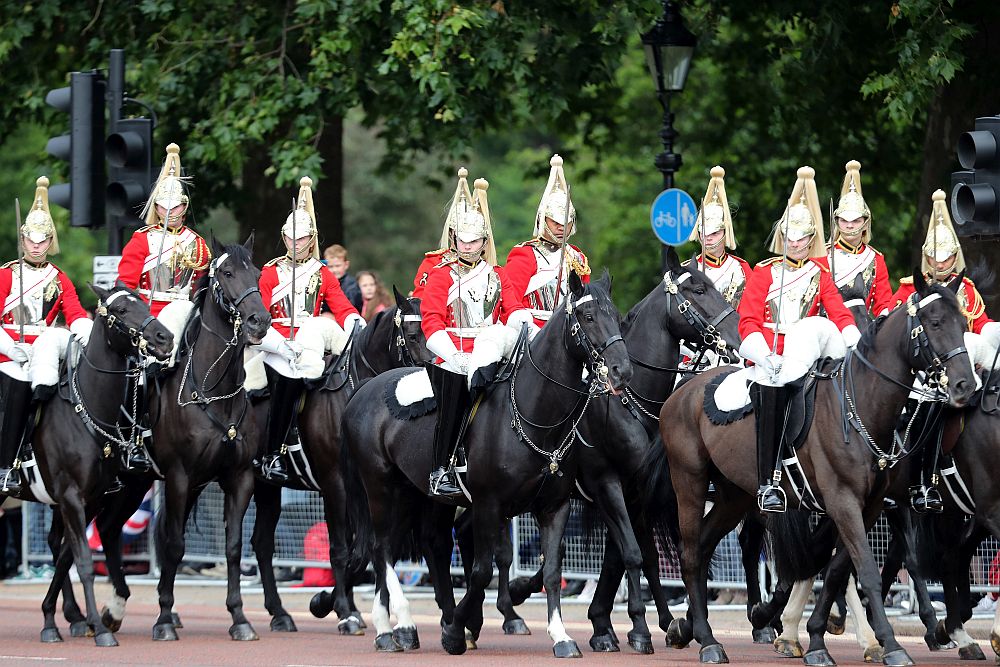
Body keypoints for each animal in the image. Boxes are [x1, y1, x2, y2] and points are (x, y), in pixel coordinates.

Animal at [9, 284, 173, 648]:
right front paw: (99, 627)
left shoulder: (92, 499)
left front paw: (53, 620)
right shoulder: (72, 497)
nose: (165, 337)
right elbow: (83, 561)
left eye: (144, 303)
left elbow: (67, 557)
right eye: (122, 311)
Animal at [89, 239, 268, 640]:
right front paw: (164, 620)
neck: (214, 391)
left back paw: (113, 609)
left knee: (107, 528)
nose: (259, 321)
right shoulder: (179, 477)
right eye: (227, 273)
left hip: (135, 484)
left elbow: (233, 546)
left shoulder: (238, 478)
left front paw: (239, 617)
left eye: (257, 272)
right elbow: (174, 545)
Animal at [250, 290, 430, 636]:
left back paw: (279, 614)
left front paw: (331, 602)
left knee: (262, 544)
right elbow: (343, 549)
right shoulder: (335, 486)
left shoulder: (369, 488)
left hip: (267, 490)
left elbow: (365, 549)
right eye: (414, 335)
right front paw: (343, 611)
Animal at [342, 272, 624, 656]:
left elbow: (551, 570)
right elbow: (481, 571)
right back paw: (396, 626)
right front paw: (457, 629)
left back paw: (400, 626)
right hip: (380, 488)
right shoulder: (488, 505)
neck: (536, 415)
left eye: (617, 315)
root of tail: (365, 388)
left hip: (412, 494)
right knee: (382, 549)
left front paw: (561, 636)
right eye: (590, 316)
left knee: (409, 546)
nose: (621, 369)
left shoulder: (555, 506)